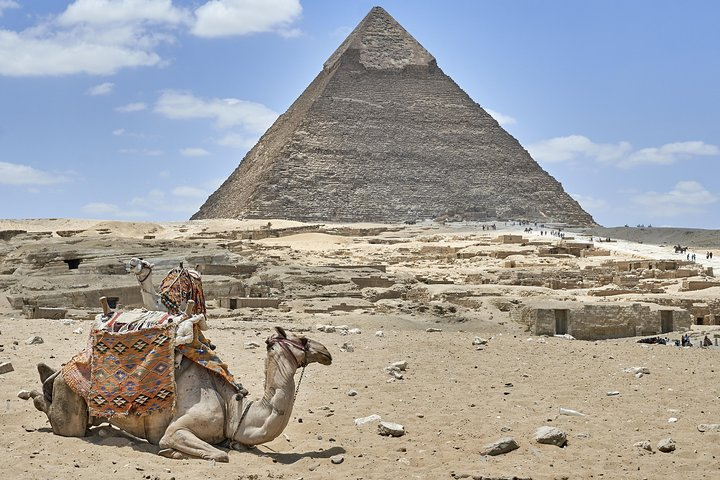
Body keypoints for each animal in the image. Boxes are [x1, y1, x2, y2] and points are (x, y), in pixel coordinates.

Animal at [23, 326, 332, 462]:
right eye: (303, 339)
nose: (327, 352)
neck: (235, 411)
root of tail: (66, 367)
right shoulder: (178, 428)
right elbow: (219, 455)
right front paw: (171, 452)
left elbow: (234, 447)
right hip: (69, 398)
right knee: (64, 423)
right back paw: (30, 393)